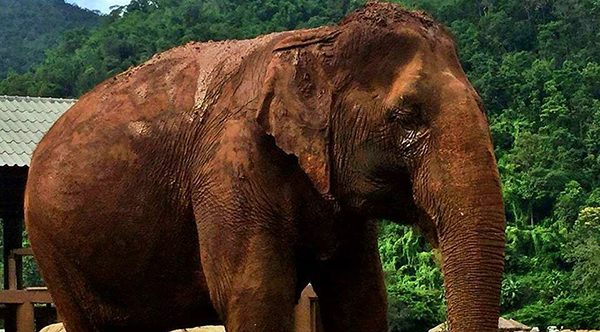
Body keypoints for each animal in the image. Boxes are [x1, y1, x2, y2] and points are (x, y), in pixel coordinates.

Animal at [27, 2, 506, 332]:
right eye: (406, 115)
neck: (320, 41)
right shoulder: (230, 167)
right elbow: (255, 293)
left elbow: (362, 296)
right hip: (51, 247)